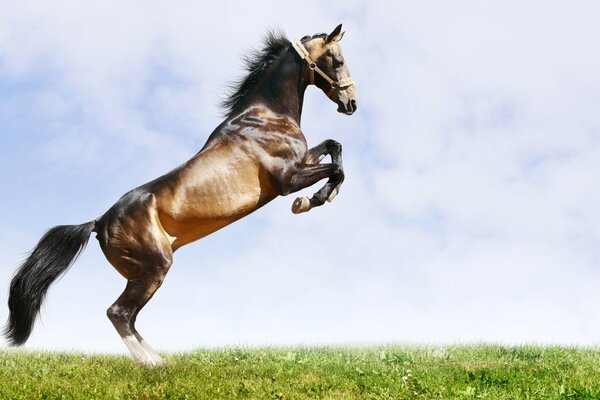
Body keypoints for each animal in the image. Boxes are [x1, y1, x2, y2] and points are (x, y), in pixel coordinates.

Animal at [3, 24, 356, 366]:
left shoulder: (302, 161)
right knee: (119, 313)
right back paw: (151, 365)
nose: (351, 103)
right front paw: (310, 201)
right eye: (338, 61)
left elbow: (335, 147)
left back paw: (162, 360)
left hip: (141, 273)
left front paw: (321, 195)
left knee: (129, 317)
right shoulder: (287, 179)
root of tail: (98, 222)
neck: (266, 116)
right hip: (154, 267)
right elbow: (335, 170)